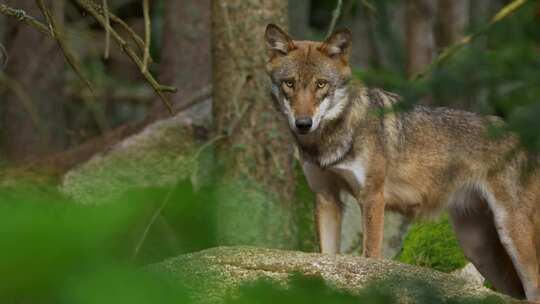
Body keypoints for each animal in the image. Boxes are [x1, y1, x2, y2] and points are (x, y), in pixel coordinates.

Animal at [264, 24, 540, 302]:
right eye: (290, 83)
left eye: (321, 84)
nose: (303, 123)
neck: (327, 141)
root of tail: (524, 137)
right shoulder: (326, 197)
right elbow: (325, 259)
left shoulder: (373, 197)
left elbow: (370, 257)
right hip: (478, 248)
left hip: (511, 234)